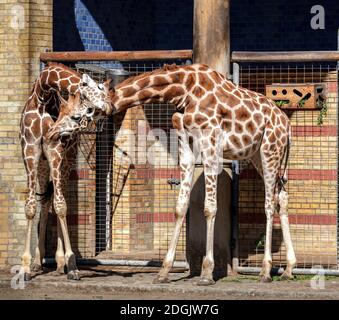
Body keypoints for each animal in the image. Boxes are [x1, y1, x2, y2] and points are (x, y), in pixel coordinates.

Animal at [19, 62, 109, 280]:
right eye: (89, 85)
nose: (106, 105)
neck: (42, 97)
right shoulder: (30, 152)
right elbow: (31, 207)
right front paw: (26, 267)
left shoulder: (55, 152)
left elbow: (61, 206)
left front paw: (72, 265)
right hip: (43, 166)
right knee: (45, 202)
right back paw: (38, 262)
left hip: (65, 162)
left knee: (58, 199)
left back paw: (60, 264)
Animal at [51, 62, 296, 284]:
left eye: (78, 113)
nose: (53, 133)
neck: (182, 90)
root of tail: (286, 124)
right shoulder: (186, 144)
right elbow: (180, 207)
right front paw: (164, 271)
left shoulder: (210, 143)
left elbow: (210, 207)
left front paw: (207, 273)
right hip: (258, 156)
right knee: (281, 198)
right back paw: (288, 268)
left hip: (269, 150)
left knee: (269, 204)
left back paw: (265, 272)